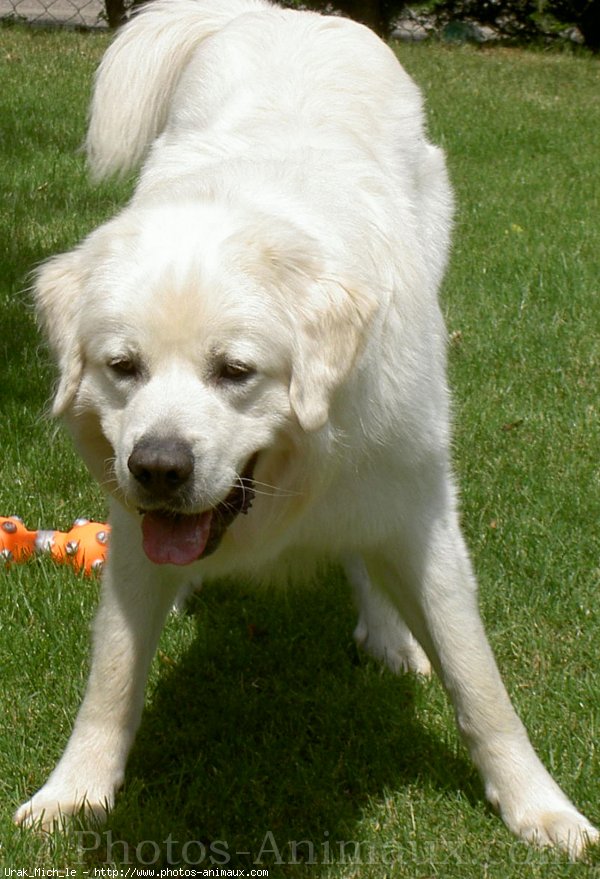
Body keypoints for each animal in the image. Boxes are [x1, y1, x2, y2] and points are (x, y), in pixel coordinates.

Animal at [14, 0, 596, 856]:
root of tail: (284, 13)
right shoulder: (131, 533)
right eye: (123, 367)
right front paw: (75, 793)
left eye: (235, 371)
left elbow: (480, 680)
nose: (158, 466)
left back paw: (387, 634)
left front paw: (540, 808)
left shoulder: (422, 513)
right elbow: (113, 671)